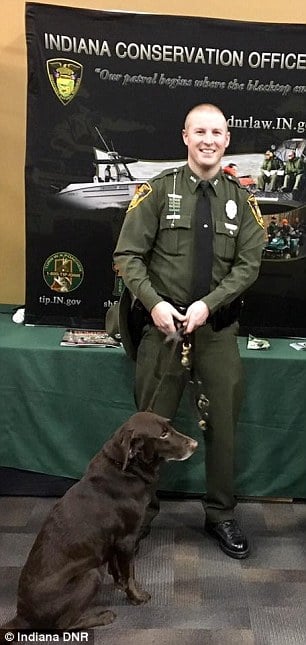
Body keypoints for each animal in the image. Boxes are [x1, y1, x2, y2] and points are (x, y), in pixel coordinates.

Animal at [1, 412, 197, 628]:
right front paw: (136, 596)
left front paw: (120, 584)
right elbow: (130, 572)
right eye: (163, 435)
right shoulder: (126, 540)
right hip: (91, 574)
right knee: (64, 624)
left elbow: (118, 567)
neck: (125, 469)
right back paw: (103, 616)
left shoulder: (112, 540)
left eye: (170, 426)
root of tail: (22, 615)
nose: (195, 444)